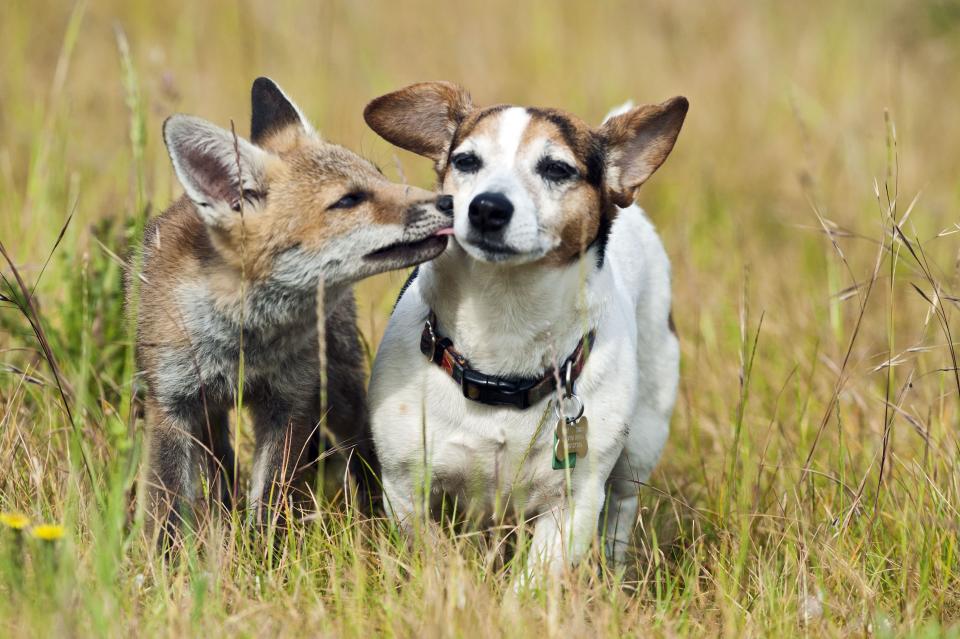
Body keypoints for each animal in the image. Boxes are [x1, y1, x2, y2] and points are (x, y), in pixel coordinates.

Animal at [132, 77, 458, 544]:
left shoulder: (289, 401)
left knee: (361, 450)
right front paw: (166, 559)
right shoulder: (172, 403)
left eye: (379, 177)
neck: (244, 342)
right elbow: (168, 506)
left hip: (340, 389)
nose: (450, 201)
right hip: (212, 415)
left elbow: (270, 498)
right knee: (220, 470)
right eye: (349, 201)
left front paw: (262, 552)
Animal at [364, 82, 688, 576]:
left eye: (556, 168)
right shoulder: (405, 489)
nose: (487, 208)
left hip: (643, 438)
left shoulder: (573, 505)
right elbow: (434, 553)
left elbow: (538, 575)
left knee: (622, 507)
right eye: (466, 161)